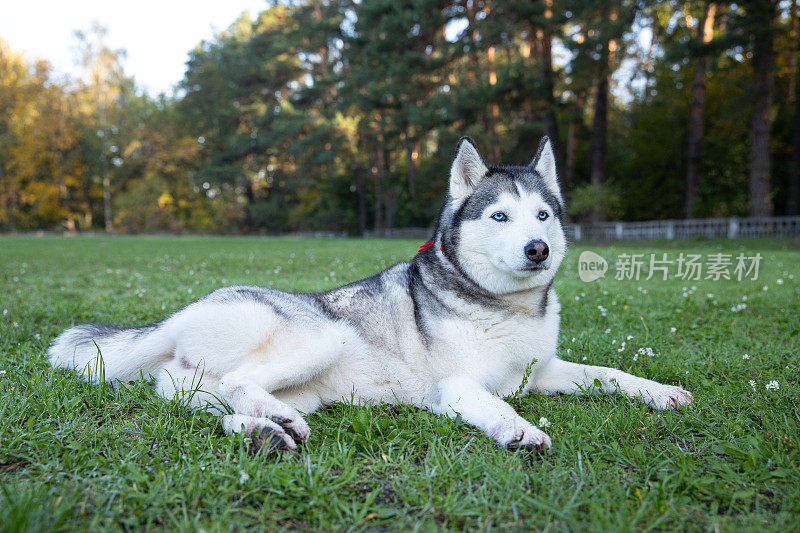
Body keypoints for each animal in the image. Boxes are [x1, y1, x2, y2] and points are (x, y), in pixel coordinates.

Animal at [48, 136, 692, 448]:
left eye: (542, 214)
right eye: (500, 217)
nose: (538, 249)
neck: (504, 307)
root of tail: (181, 313)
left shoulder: (544, 370)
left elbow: (611, 374)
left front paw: (660, 392)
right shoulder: (459, 386)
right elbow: (499, 405)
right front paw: (519, 431)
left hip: (249, 384)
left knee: (209, 401)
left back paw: (264, 431)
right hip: (322, 337)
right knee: (234, 384)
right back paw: (271, 422)